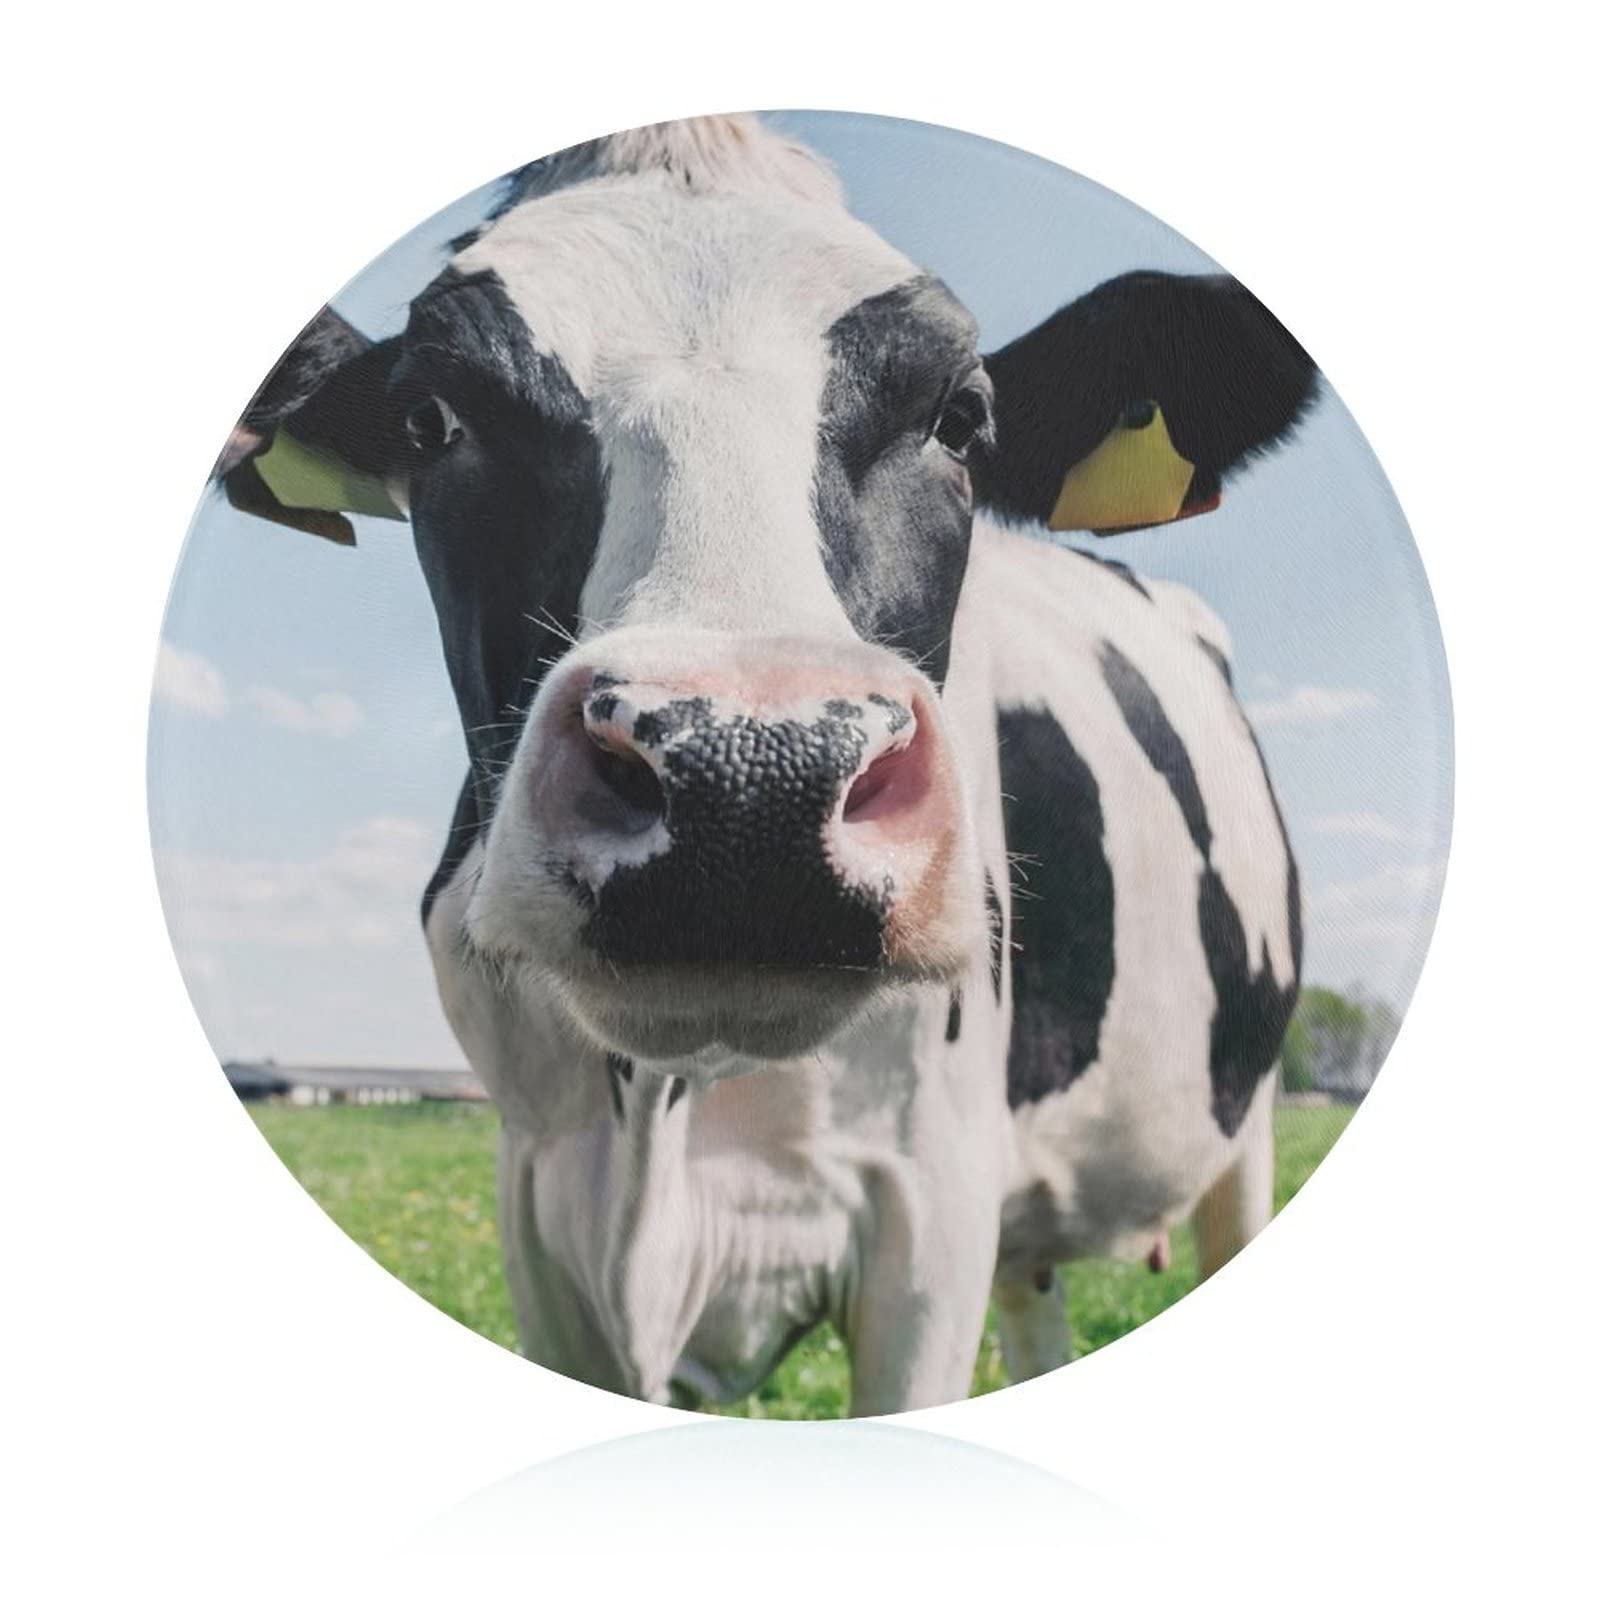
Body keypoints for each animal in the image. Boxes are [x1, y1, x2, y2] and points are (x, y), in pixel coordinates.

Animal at [216, 115, 1317, 1416]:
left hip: (1237, 1131)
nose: (750, 782)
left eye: (960, 416)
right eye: (433, 417)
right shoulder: (542, 1203)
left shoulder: (928, 1208)